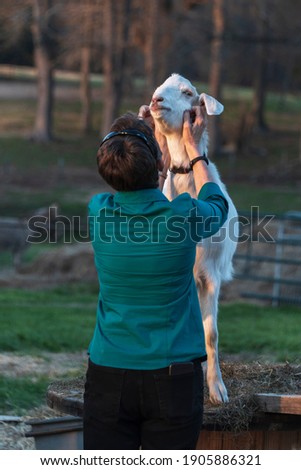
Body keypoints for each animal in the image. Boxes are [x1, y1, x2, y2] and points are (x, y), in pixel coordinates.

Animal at [148, 74, 237, 404]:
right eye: (158, 89)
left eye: (187, 92)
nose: (156, 100)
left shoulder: (209, 274)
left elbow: (210, 333)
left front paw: (217, 390)